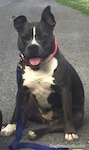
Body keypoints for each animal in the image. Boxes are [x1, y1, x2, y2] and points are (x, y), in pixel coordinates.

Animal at [0, 5, 84, 141]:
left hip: (77, 116)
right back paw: (10, 127)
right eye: (24, 37)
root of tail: (46, 119)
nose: (33, 47)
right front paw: (10, 127)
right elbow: (16, 112)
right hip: (29, 104)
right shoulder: (22, 92)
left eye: (44, 36)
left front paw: (70, 132)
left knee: (53, 126)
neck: (38, 68)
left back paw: (35, 132)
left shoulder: (64, 90)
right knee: (23, 120)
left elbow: (67, 114)